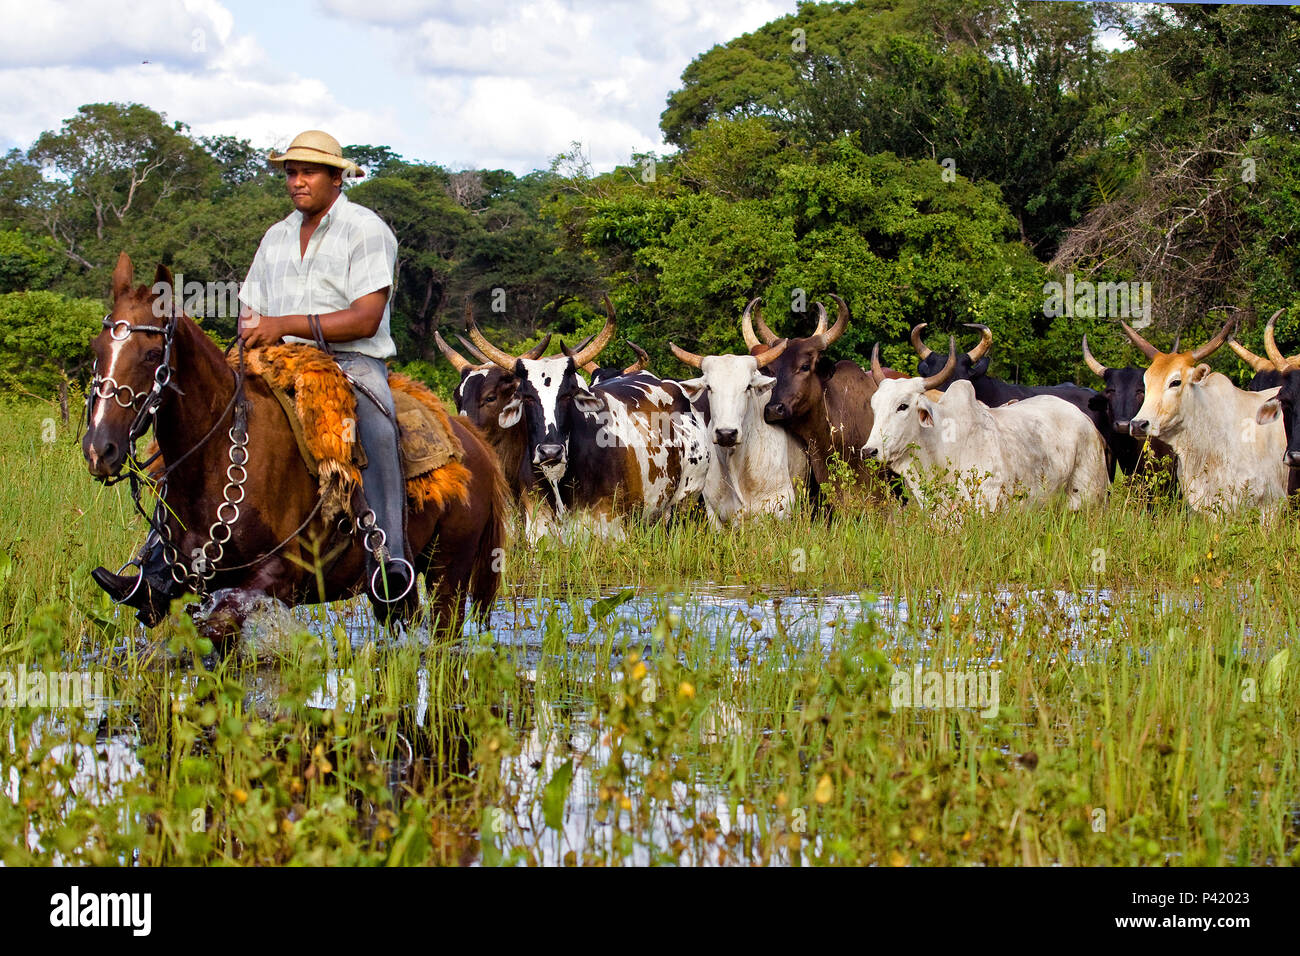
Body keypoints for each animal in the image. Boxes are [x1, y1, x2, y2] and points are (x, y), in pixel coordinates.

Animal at [82, 254, 506, 639]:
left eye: (153, 354)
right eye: (97, 349)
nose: (99, 449)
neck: (217, 458)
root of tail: (473, 440)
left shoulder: (274, 579)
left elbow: (220, 625)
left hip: (448, 572)